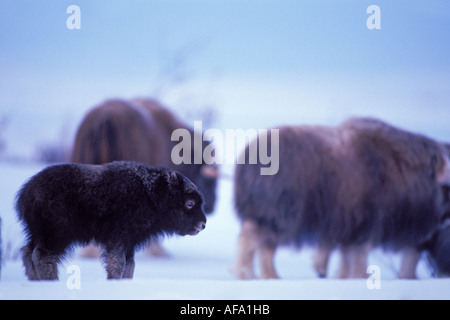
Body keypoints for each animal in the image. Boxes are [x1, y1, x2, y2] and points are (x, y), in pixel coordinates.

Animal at [14, 161, 207, 278]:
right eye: (190, 203)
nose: (203, 224)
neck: (152, 193)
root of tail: (27, 193)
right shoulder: (118, 238)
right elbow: (118, 263)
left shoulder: (130, 243)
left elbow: (130, 265)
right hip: (56, 235)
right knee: (42, 256)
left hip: (37, 234)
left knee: (27, 252)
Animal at [232, 118, 450, 280]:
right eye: (446, 188)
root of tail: (249, 157)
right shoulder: (368, 224)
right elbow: (360, 255)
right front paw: (360, 277)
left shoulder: (352, 226)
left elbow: (347, 256)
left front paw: (343, 276)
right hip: (278, 218)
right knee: (251, 239)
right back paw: (246, 274)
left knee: (265, 247)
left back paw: (271, 276)